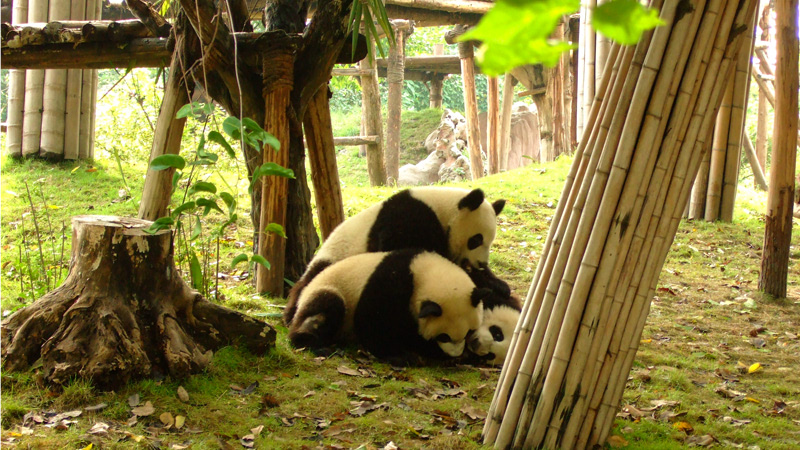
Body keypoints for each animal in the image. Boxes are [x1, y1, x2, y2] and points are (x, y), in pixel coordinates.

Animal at [284, 187, 505, 325]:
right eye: (476, 240)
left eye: (490, 241)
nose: (481, 262)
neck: (443, 208)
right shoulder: (409, 217)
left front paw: (496, 284)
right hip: (332, 259)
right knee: (309, 284)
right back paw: (292, 313)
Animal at [287, 249, 491, 359]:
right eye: (444, 336)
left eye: (469, 332)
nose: (455, 354)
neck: (423, 271)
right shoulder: (391, 281)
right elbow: (373, 320)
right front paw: (402, 355)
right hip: (327, 291)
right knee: (328, 306)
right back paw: (311, 342)